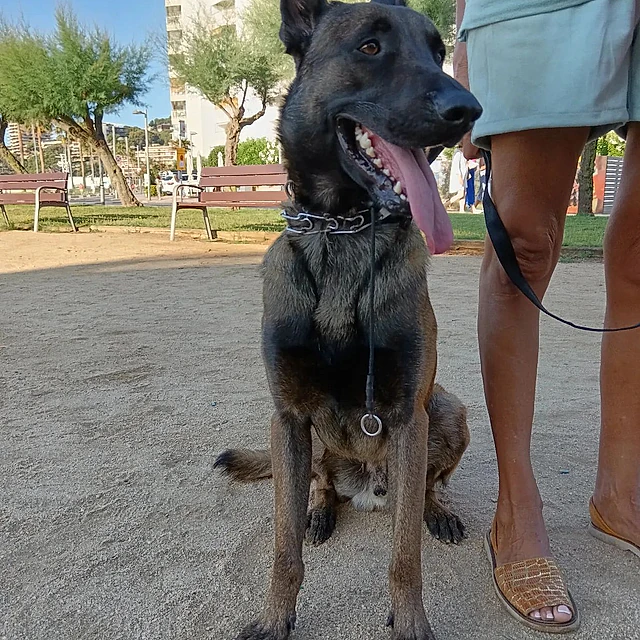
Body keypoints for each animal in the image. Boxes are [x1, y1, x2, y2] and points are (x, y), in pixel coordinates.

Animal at [214, 2, 480, 636]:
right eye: (369, 47)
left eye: (438, 53)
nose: (468, 110)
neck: (343, 234)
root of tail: (365, 487)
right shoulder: (287, 418)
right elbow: (284, 547)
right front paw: (275, 617)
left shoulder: (408, 419)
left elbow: (405, 554)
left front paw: (410, 621)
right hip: (305, 441)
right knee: (318, 486)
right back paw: (319, 508)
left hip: (446, 410)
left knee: (424, 491)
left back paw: (438, 510)